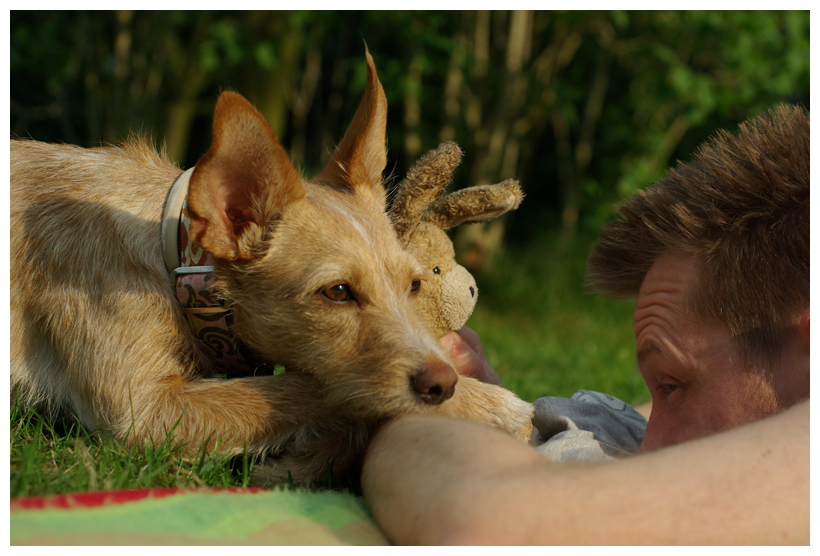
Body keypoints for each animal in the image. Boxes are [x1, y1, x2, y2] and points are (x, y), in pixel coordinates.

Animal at [11, 53, 532, 486]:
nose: (443, 383)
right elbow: (307, 388)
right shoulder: (142, 407)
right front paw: (488, 404)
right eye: (337, 292)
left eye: (416, 284)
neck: (172, 256)